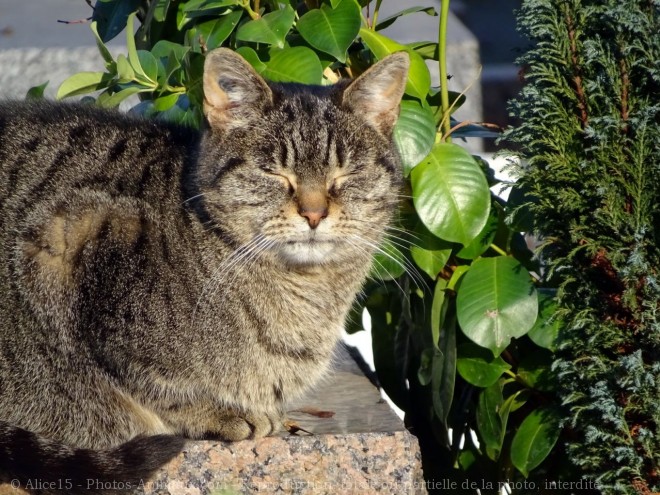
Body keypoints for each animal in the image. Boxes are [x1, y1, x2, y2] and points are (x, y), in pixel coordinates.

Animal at [0, 48, 410, 490]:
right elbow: (153, 384)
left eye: (347, 173)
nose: (314, 213)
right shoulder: (79, 239)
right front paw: (217, 411)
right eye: (273, 172)